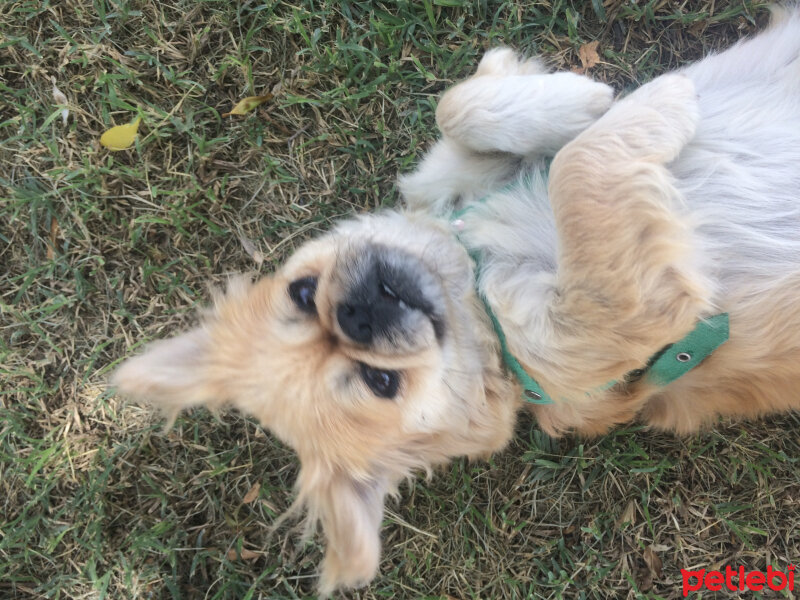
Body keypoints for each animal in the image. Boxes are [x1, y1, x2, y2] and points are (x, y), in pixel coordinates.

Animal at [115, 8, 800, 596]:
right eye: (381, 383)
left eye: (303, 294)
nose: (356, 315)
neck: (476, 270)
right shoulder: (613, 316)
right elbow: (575, 171)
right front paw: (656, 102)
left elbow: (457, 107)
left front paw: (569, 100)